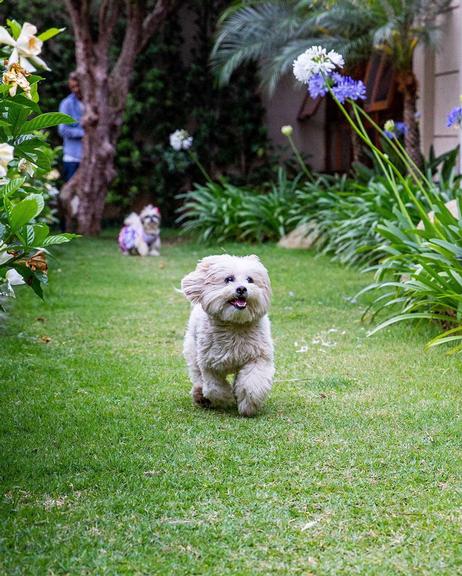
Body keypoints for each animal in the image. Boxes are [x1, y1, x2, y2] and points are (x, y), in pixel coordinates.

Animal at [180, 254, 274, 416]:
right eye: (229, 279)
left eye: (250, 279)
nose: (242, 288)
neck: (234, 325)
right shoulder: (209, 364)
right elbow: (214, 388)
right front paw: (226, 398)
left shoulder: (259, 358)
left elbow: (252, 383)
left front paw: (247, 405)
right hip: (193, 350)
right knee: (197, 375)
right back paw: (200, 395)